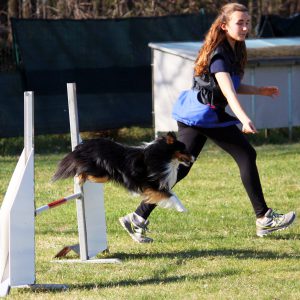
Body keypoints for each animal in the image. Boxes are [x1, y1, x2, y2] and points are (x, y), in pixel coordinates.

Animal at [52, 131, 193, 211]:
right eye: (184, 150)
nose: (193, 158)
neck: (162, 155)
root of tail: (84, 145)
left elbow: (171, 194)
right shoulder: (152, 185)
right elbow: (171, 196)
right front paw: (183, 209)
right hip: (102, 173)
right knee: (83, 172)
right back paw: (79, 180)